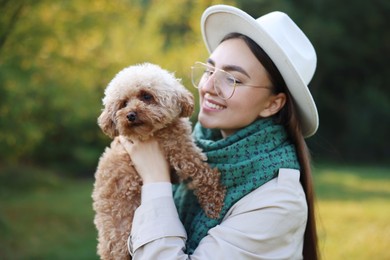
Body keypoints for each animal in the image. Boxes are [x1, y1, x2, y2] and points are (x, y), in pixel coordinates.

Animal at [92, 63, 225, 260]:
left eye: (146, 96)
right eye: (123, 103)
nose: (130, 114)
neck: (155, 132)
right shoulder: (181, 151)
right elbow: (202, 172)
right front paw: (214, 202)